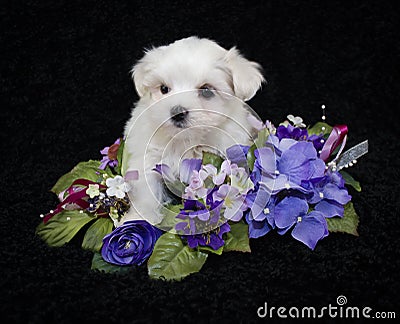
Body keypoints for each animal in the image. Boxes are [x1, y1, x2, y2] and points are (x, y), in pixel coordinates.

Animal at [122, 36, 266, 227]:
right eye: (164, 89)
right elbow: (146, 193)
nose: (177, 112)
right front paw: (138, 218)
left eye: (206, 90)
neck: (186, 140)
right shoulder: (147, 158)